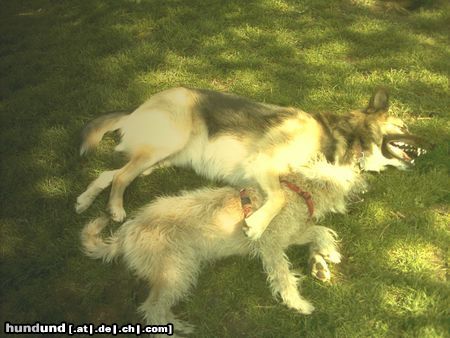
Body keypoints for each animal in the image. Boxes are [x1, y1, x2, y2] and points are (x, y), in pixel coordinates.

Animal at [76, 87, 426, 240]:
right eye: (404, 126)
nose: (432, 146)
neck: (339, 135)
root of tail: (137, 108)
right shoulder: (265, 163)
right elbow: (280, 197)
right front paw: (256, 224)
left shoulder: (263, 176)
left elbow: (280, 196)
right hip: (165, 145)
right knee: (120, 177)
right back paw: (115, 208)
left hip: (158, 158)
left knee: (110, 173)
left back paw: (84, 199)